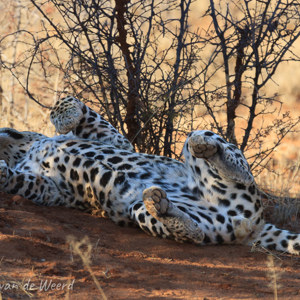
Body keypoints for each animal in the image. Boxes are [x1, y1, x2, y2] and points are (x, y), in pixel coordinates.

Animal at [0, 95, 298, 254]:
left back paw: (204, 146)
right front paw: (4, 171)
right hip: (160, 212)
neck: (23, 151)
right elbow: (22, 181)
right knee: (195, 233)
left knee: (239, 169)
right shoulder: (52, 190)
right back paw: (162, 205)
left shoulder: (117, 141)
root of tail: (255, 226)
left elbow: (84, 111)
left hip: (211, 157)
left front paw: (65, 117)